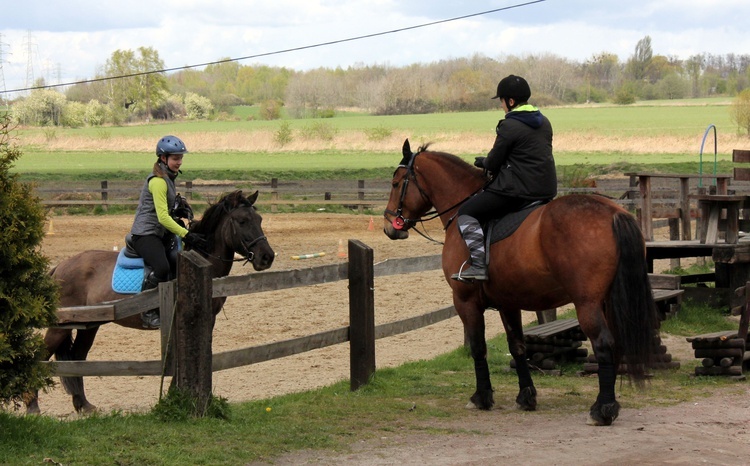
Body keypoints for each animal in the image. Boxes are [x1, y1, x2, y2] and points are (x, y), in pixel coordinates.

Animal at [23, 189, 276, 416]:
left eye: (260, 219)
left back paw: (83, 404)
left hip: (90, 325)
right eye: (242, 221)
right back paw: (32, 406)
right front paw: (176, 395)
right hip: (60, 327)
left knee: (77, 358)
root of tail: (60, 267)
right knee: (40, 357)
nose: (267, 257)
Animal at [388, 139, 656, 426]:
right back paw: (608, 405)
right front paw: (526, 396)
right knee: (615, 344)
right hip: (608, 301)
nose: (389, 225)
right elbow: (517, 346)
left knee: (604, 344)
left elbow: (478, 348)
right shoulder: (508, 302)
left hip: (587, 303)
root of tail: (614, 213)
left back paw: (602, 409)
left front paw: (481, 397)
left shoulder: (465, 301)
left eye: (396, 183)